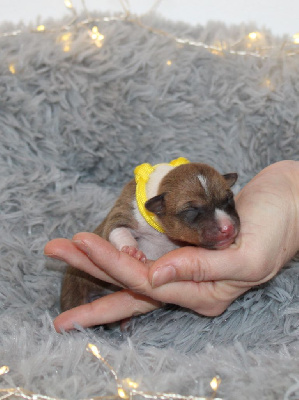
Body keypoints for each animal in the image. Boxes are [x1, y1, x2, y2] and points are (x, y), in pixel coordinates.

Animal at [61, 159, 241, 312]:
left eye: (229, 199)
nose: (227, 228)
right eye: (191, 210)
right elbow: (117, 229)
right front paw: (131, 250)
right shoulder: (123, 213)